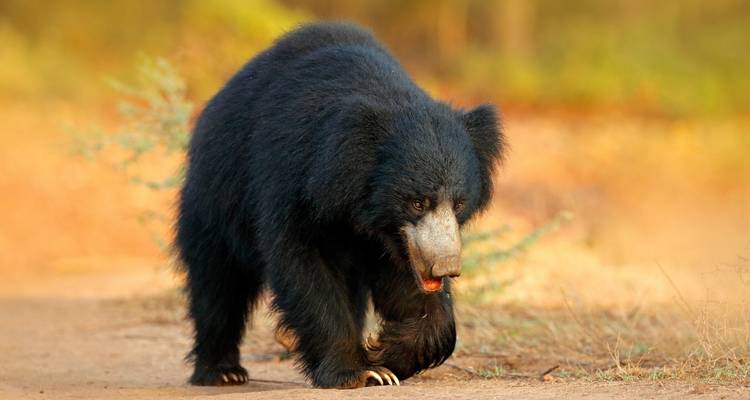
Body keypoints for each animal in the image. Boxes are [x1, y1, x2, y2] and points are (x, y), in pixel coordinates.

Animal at [175, 22, 504, 389]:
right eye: (417, 202)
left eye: (459, 203)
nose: (445, 268)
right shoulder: (294, 180)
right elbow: (304, 265)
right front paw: (359, 371)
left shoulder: (394, 237)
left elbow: (406, 281)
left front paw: (385, 352)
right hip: (213, 203)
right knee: (218, 285)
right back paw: (222, 371)